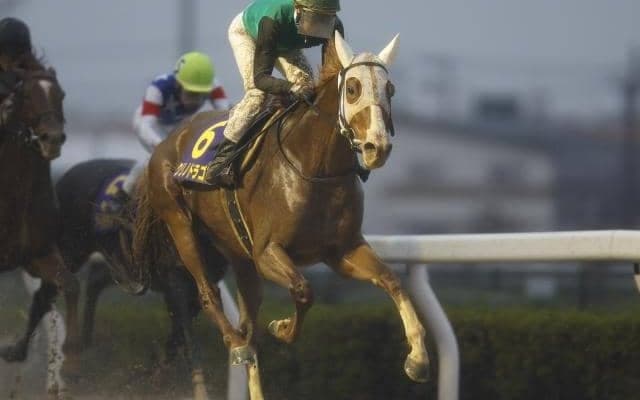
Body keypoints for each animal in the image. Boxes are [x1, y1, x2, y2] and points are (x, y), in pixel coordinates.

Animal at [55, 158, 228, 400]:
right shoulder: (176, 283)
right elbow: (187, 337)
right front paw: (198, 388)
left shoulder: (197, 289)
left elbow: (177, 336)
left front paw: (158, 375)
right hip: (72, 249)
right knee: (60, 287)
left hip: (115, 262)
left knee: (93, 282)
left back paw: (85, 344)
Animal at [134, 32, 428, 399]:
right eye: (353, 88)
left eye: (390, 89)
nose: (379, 147)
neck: (315, 168)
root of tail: (168, 142)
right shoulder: (267, 252)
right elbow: (304, 290)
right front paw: (283, 327)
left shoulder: (342, 250)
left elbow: (391, 279)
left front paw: (417, 359)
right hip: (180, 223)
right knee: (209, 295)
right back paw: (234, 342)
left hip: (239, 257)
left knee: (249, 327)